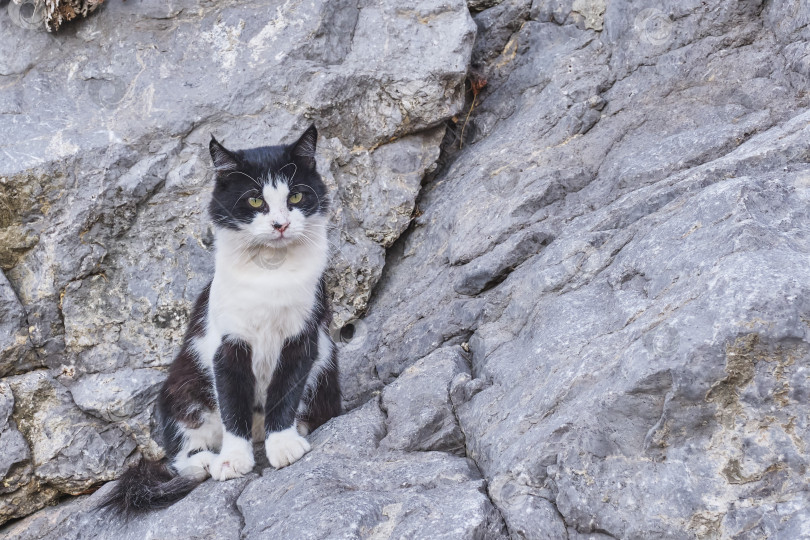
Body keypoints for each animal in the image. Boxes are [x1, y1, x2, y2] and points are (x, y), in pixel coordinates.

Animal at [102, 125, 340, 516]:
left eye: (296, 195)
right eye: (255, 201)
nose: (280, 224)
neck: (270, 273)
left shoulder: (303, 336)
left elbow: (285, 391)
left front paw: (283, 444)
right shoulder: (226, 345)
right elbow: (232, 404)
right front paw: (232, 460)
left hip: (328, 363)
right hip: (180, 388)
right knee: (180, 453)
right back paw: (205, 462)